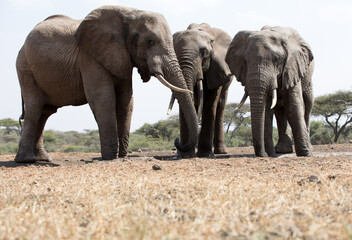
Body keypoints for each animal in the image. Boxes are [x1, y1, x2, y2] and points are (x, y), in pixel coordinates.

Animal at [15, 5, 198, 163]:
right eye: (150, 42)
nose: (177, 141)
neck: (130, 13)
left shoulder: (122, 57)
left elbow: (126, 101)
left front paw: (122, 156)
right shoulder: (90, 58)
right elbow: (103, 98)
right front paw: (110, 157)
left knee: (45, 112)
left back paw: (43, 158)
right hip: (25, 68)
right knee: (35, 108)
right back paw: (27, 160)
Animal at [168, 23, 234, 158]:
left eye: (204, 53)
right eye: (174, 53)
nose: (177, 140)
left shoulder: (217, 69)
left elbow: (210, 103)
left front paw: (205, 154)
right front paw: (185, 155)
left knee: (220, 107)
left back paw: (220, 152)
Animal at [227, 26, 314, 158]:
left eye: (276, 60)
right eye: (245, 61)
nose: (263, 155)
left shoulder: (292, 67)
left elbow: (293, 106)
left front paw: (305, 154)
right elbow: (267, 111)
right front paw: (271, 153)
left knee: (307, 106)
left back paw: (307, 147)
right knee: (279, 111)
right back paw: (282, 150)